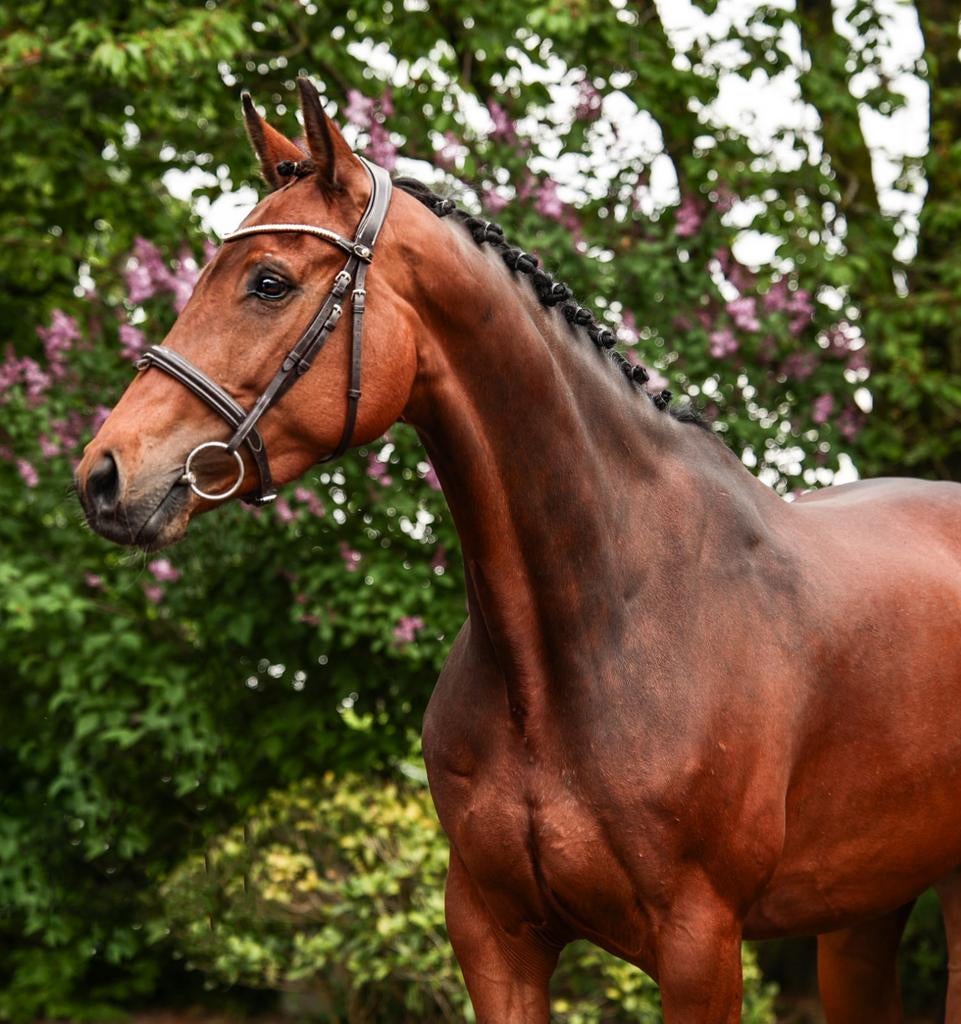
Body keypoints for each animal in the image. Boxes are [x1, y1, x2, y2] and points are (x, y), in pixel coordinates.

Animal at [76, 78, 961, 1022]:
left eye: (268, 282)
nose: (105, 474)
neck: (600, 621)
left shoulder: (700, 947)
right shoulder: (494, 937)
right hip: (861, 909)